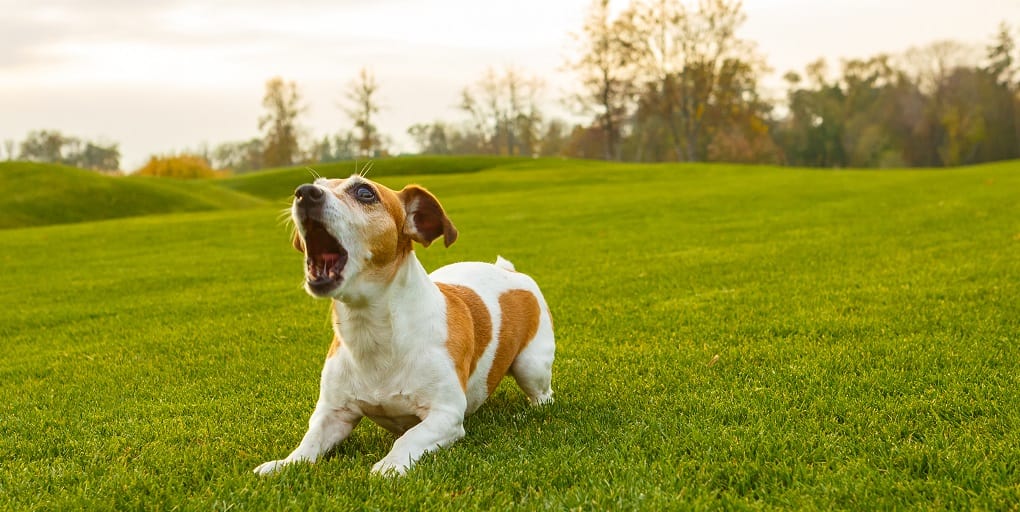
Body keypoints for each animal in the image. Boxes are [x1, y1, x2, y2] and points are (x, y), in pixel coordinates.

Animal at [255, 176, 558, 475]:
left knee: (544, 396)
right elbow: (310, 442)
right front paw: (285, 464)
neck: (373, 332)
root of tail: (510, 271)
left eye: (365, 192)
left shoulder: (445, 415)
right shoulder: (333, 414)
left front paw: (389, 466)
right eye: (316, 183)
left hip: (531, 366)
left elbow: (408, 437)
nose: (305, 193)